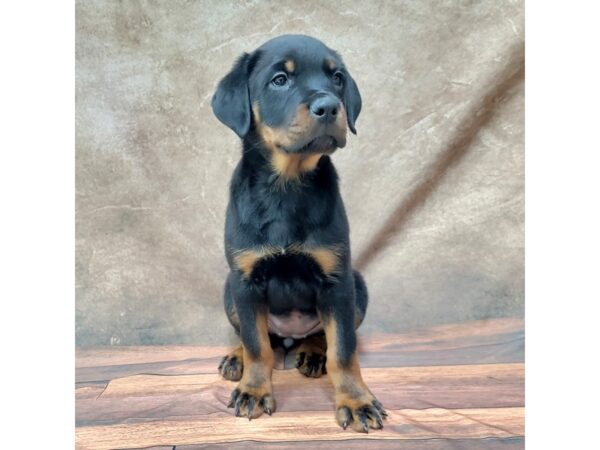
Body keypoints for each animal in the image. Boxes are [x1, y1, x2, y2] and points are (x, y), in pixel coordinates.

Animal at [211, 34, 386, 432]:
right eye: (280, 80)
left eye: (337, 78)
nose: (329, 106)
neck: (287, 186)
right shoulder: (245, 280)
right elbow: (257, 344)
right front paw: (254, 391)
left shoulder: (337, 280)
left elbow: (344, 350)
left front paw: (356, 401)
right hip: (229, 290)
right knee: (258, 337)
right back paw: (236, 356)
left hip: (357, 287)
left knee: (323, 334)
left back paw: (312, 353)